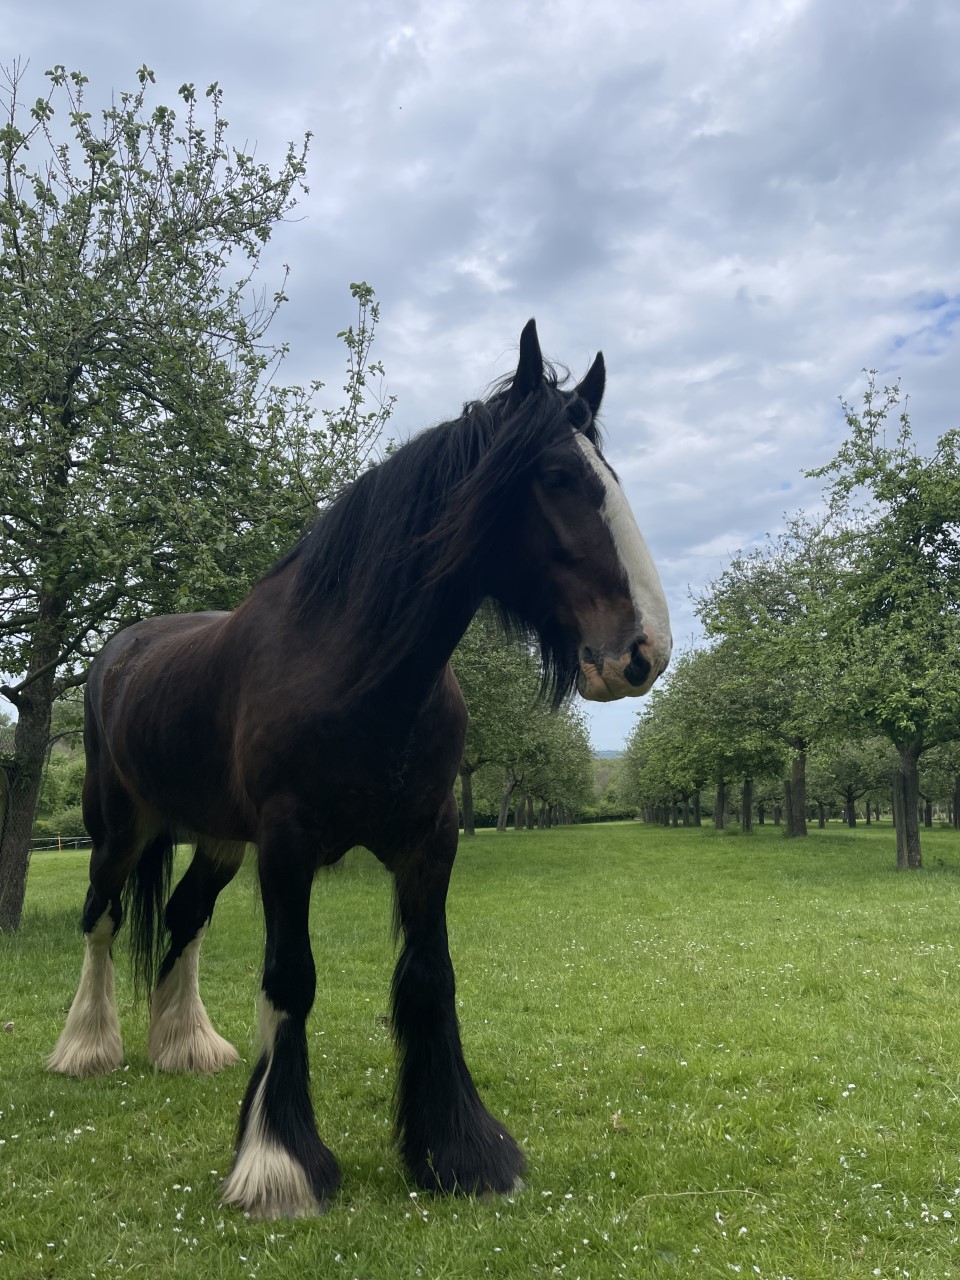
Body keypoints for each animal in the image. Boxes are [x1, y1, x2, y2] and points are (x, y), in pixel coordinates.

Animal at [47, 320, 675, 1218]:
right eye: (558, 477)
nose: (643, 651)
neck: (357, 664)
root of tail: (120, 651)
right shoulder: (286, 845)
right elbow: (290, 981)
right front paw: (279, 1164)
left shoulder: (428, 843)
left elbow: (430, 981)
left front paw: (459, 1152)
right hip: (119, 826)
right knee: (101, 917)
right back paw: (86, 1047)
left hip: (217, 840)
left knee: (182, 917)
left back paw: (186, 1044)